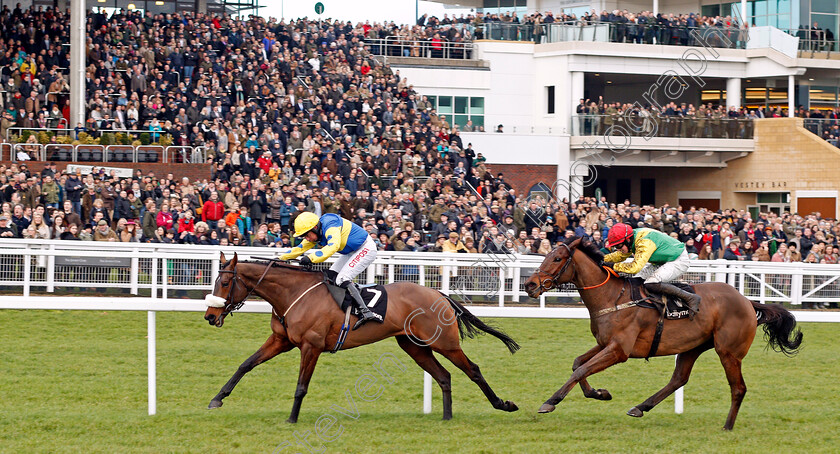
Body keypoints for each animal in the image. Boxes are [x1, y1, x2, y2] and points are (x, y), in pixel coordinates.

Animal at [202, 252, 520, 422]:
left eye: (226, 282)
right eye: (215, 280)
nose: (210, 316)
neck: (293, 294)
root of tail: (439, 293)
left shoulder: (311, 346)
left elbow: (301, 386)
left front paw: (292, 418)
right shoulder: (282, 341)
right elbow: (245, 364)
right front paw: (217, 399)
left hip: (444, 342)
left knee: (473, 370)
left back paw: (503, 404)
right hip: (414, 347)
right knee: (444, 376)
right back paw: (447, 416)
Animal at [520, 238, 804, 430]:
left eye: (557, 259)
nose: (529, 285)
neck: (612, 297)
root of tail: (747, 301)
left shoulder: (619, 350)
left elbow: (580, 369)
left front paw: (551, 401)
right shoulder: (605, 343)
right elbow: (578, 363)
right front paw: (599, 393)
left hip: (729, 352)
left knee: (738, 388)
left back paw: (727, 425)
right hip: (693, 346)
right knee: (678, 379)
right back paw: (640, 407)